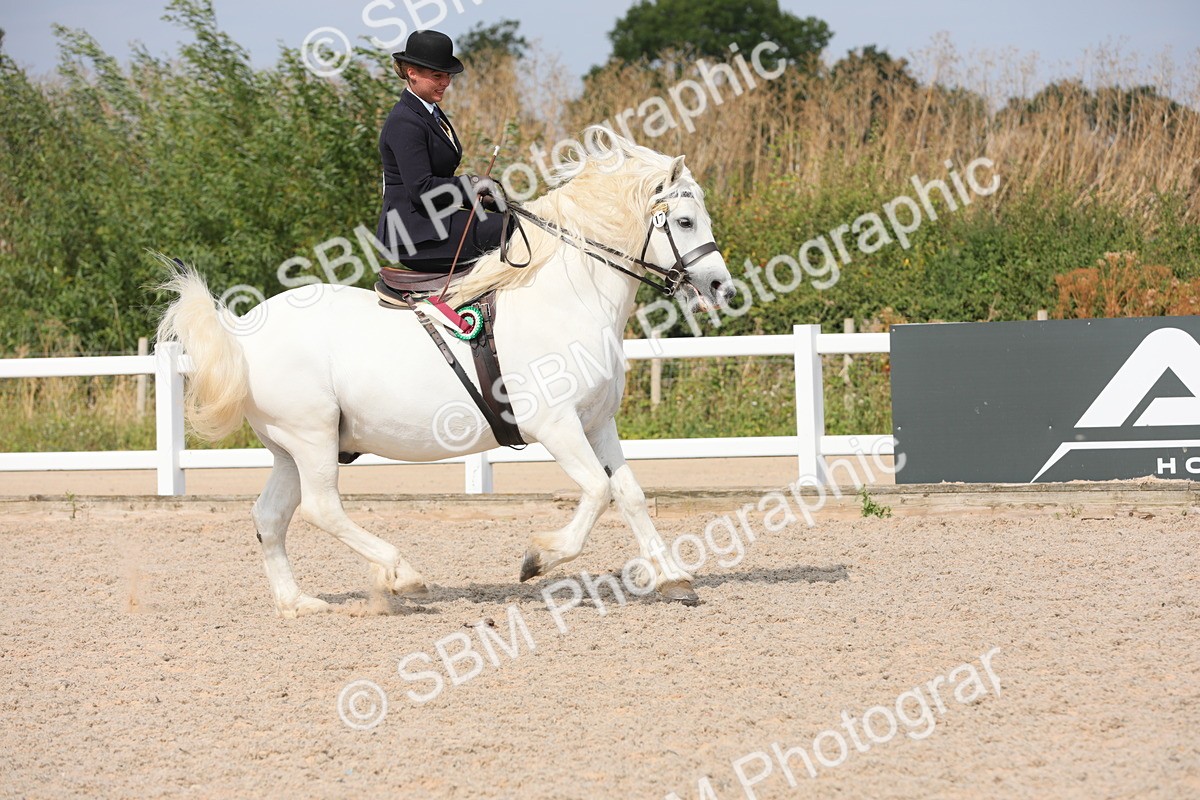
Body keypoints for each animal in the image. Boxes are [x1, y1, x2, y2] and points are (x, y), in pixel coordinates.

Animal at [156, 129, 735, 618]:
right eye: (686, 222)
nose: (721, 287)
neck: (569, 298)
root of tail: (242, 330)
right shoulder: (555, 425)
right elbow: (597, 491)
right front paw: (538, 558)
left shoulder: (596, 423)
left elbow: (630, 494)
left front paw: (675, 579)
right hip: (312, 437)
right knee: (323, 508)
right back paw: (402, 576)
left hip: (288, 449)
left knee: (269, 517)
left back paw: (298, 603)